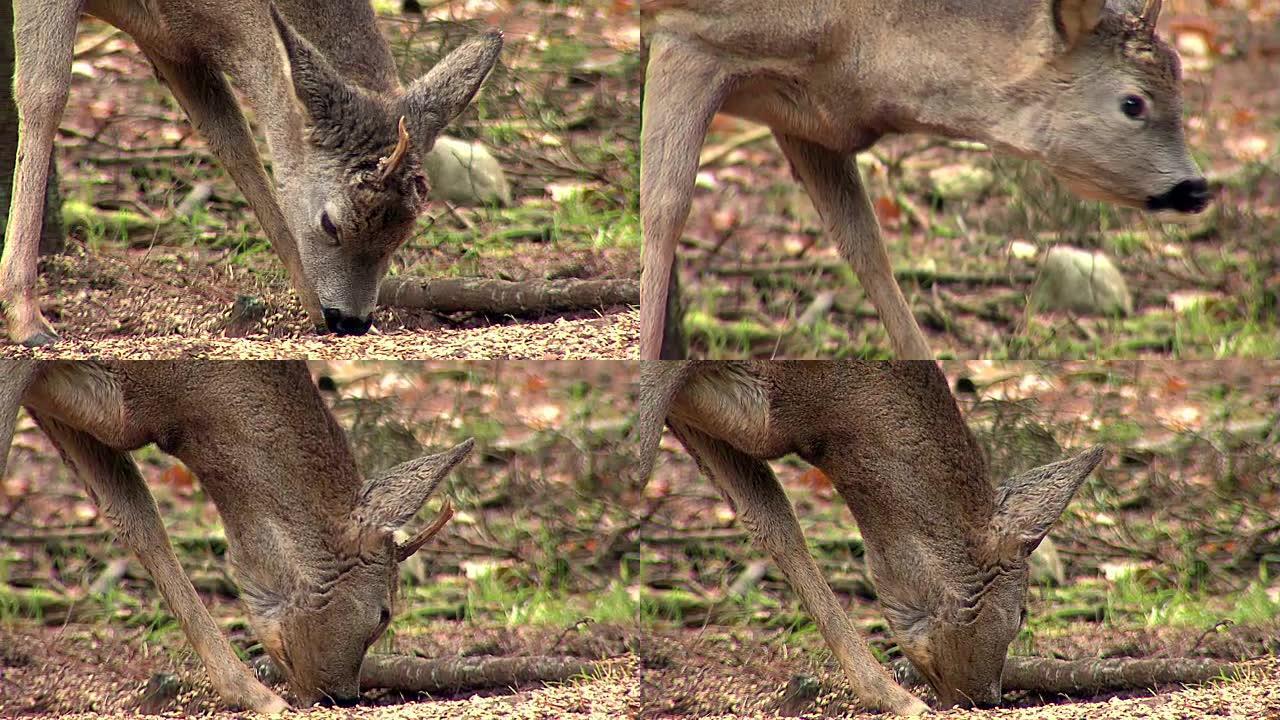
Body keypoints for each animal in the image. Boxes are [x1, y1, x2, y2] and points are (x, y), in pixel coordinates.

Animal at [2, 0, 501, 345]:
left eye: (404, 234)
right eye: (330, 223)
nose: (352, 321)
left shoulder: (173, 44)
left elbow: (232, 140)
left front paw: (310, 306)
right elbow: (44, 92)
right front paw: (27, 319)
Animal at [640, 0, 1208, 358]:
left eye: (1181, 83)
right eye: (1133, 102)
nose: (1196, 188)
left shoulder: (809, 118)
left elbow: (864, 245)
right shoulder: (688, 31)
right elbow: (663, 210)